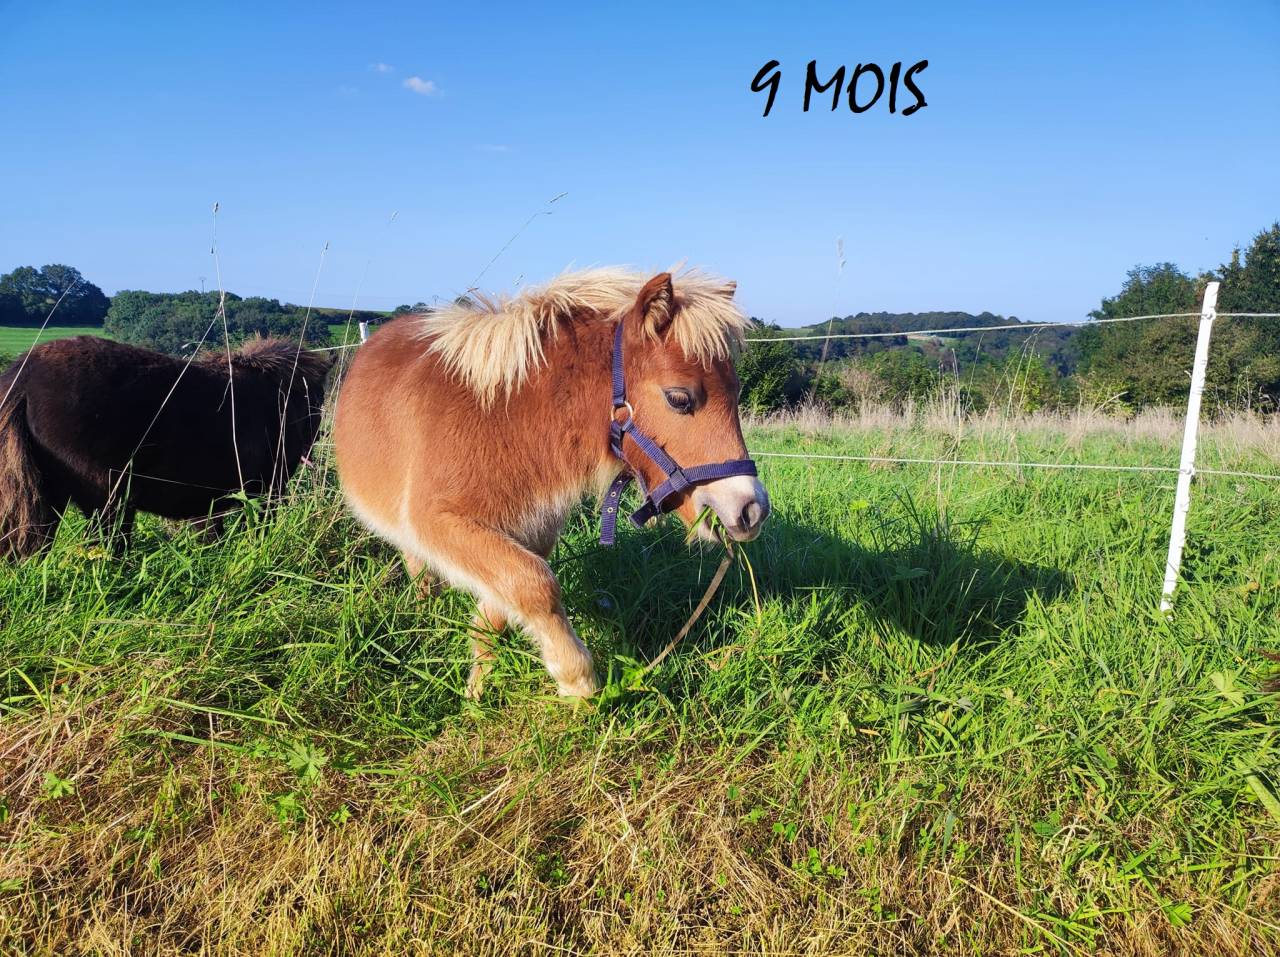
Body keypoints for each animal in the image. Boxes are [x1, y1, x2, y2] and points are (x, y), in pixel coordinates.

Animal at [0, 335, 332, 558]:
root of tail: (23, 375)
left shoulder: (207, 500)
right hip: (108, 499)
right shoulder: (265, 492)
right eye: (315, 399)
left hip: (49, 496)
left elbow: (210, 538)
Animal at [333, 268, 770, 699]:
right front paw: (576, 681)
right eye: (679, 399)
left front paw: (478, 685)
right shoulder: (435, 520)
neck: (502, 421)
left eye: (736, 392)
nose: (751, 509)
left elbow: (504, 602)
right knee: (419, 568)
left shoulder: (533, 531)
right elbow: (535, 585)